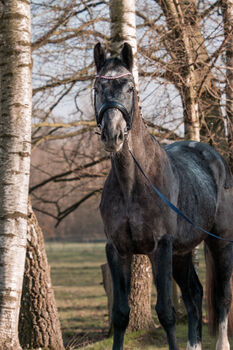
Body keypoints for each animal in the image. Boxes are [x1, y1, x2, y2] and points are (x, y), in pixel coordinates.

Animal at [93, 43, 233, 350]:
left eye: (130, 87)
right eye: (97, 87)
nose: (113, 135)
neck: (133, 183)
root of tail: (215, 157)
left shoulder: (161, 247)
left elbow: (166, 312)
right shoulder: (117, 249)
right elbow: (120, 314)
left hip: (220, 243)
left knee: (221, 298)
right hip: (182, 254)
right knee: (194, 296)